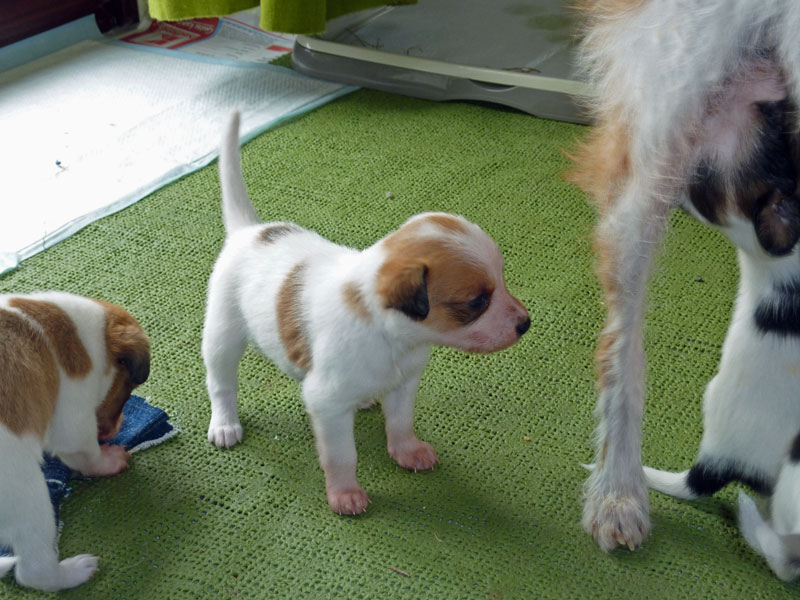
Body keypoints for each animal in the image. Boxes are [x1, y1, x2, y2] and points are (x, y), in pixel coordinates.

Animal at [0, 291, 149, 591]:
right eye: (129, 387)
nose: (116, 427)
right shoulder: (74, 423)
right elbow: (87, 452)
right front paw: (110, 459)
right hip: (28, 496)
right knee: (33, 569)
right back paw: (72, 572)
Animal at [203, 112, 530, 515]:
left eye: (501, 280)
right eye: (476, 302)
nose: (525, 323)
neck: (390, 336)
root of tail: (248, 232)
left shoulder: (405, 383)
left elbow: (401, 423)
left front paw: (407, 451)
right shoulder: (327, 405)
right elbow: (342, 456)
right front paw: (345, 493)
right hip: (223, 332)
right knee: (221, 382)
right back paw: (225, 424)